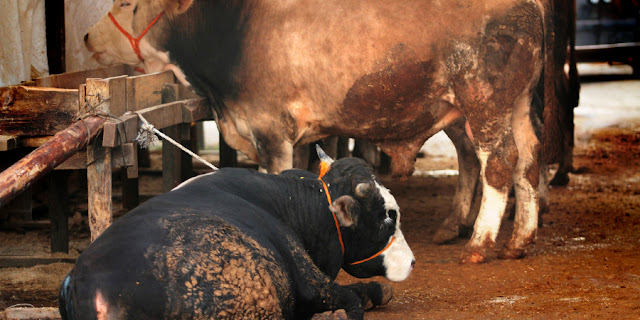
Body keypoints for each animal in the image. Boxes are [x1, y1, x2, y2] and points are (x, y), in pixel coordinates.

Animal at [85, 0, 544, 262]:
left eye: (126, 2)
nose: (87, 35)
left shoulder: (270, 130)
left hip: (483, 100)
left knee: (497, 163)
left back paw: (480, 244)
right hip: (517, 105)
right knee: (528, 161)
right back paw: (519, 240)